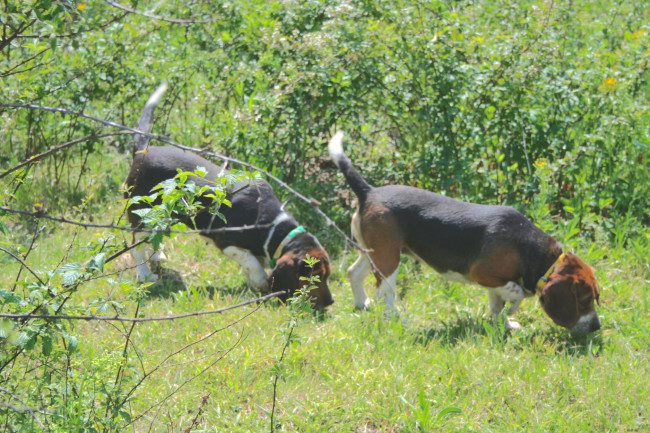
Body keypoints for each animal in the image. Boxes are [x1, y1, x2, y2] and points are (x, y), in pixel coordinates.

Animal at [123, 84, 334, 308]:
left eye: (327, 275)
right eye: (315, 276)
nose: (331, 301)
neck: (272, 226)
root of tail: (142, 151)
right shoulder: (228, 242)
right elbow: (254, 265)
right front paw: (261, 284)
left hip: (163, 214)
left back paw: (158, 256)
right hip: (142, 212)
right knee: (137, 245)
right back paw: (146, 275)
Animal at [326, 131, 600, 330]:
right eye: (584, 300)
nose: (597, 327)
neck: (535, 252)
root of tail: (368, 191)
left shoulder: (495, 284)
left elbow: (497, 305)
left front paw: (504, 325)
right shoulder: (483, 273)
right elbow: (516, 293)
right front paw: (513, 309)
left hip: (374, 252)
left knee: (353, 273)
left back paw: (362, 304)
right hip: (388, 259)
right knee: (384, 293)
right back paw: (397, 319)